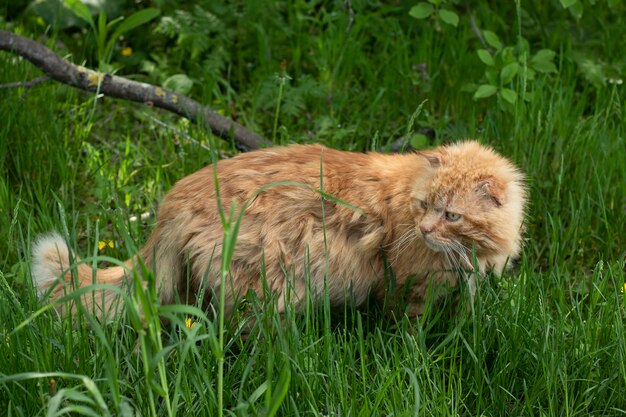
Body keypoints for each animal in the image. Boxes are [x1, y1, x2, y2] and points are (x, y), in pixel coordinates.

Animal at [31, 140, 524, 318]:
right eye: (424, 206)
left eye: (451, 215)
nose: (424, 229)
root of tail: (174, 198)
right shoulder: (406, 285)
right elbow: (411, 331)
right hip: (267, 286)